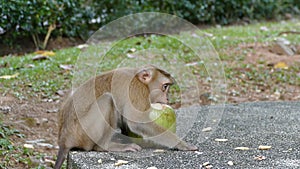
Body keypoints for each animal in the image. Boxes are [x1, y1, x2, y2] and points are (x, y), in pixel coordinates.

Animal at [54, 65, 197, 169]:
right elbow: (138, 121)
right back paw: (105, 146)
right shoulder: (137, 91)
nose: (167, 98)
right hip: (84, 133)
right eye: (165, 87)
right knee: (107, 99)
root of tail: (64, 140)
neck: (139, 79)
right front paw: (181, 144)